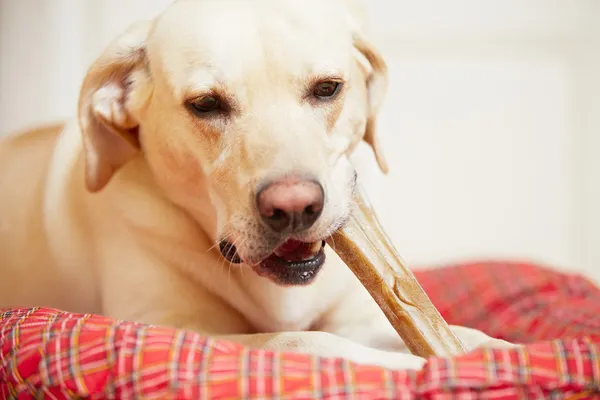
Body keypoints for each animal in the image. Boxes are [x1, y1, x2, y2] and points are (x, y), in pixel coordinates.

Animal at [0, 0, 510, 370]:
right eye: (205, 104)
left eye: (328, 88)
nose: (295, 207)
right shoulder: (161, 326)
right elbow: (302, 341)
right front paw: (418, 367)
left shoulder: (357, 317)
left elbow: (446, 331)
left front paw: (492, 350)